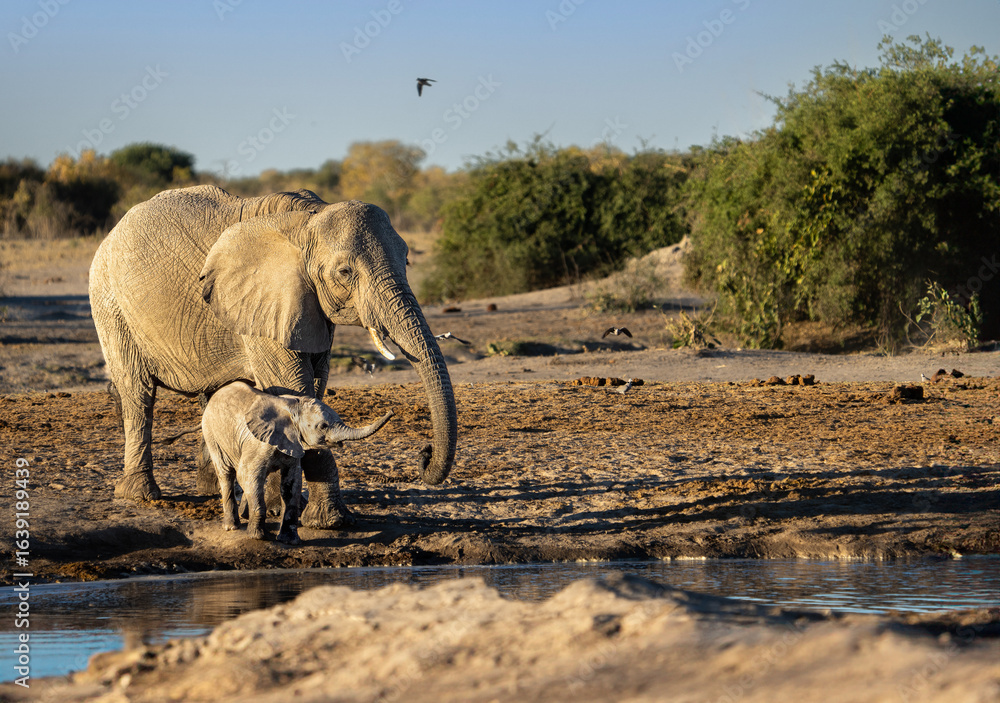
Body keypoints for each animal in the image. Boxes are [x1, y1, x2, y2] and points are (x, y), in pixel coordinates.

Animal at [202, 381, 393, 543]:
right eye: (323, 426)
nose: (392, 411)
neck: (292, 408)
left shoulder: (293, 444)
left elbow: (291, 485)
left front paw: (289, 540)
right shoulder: (258, 444)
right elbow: (248, 476)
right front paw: (259, 537)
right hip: (211, 433)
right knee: (226, 474)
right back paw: (232, 527)